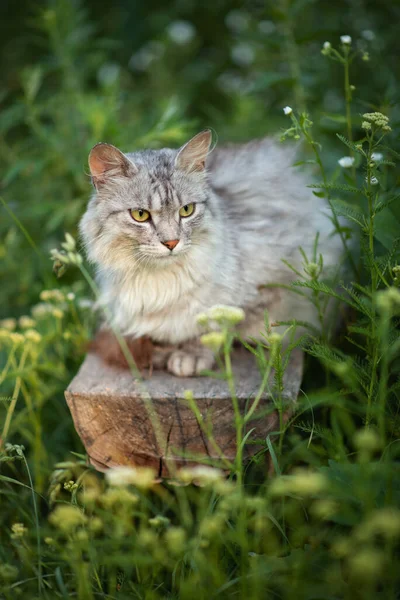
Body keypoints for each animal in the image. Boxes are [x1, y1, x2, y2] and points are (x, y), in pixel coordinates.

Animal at [79, 130, 342, 376]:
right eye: (140, 215)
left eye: (187, 210)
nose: (172, 242)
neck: (161, 281)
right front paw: (162, 352)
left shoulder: (267, 290)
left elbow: (215, 326)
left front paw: (190, 356)